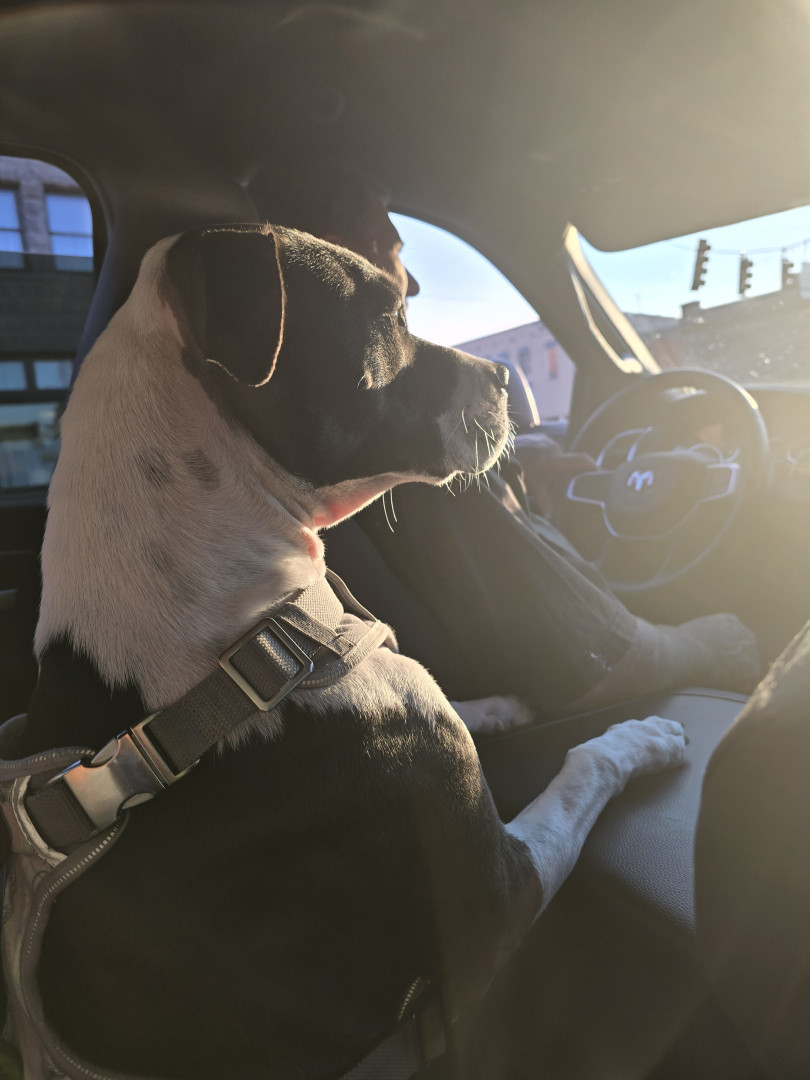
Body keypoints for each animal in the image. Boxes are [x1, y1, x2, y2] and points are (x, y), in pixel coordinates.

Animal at [13, 223, 685, 1080]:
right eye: (391, 313)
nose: (506, 374)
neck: (241, 640)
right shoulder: (498, 902)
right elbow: (582, 768)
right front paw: (644, 735)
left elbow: (464, 706)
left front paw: (502, 704)